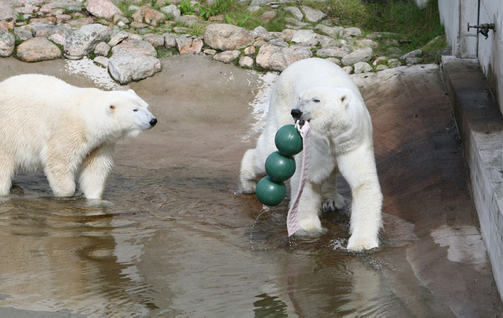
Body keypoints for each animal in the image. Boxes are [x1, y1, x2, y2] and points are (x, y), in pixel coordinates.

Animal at [0, 73, 158, 200]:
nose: (153, 120)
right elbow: (58, 160)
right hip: (8, 131)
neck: (88, 116)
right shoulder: (69, 131)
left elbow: (96, 167)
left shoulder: (102, 142)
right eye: (135, 110)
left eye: (146, 106)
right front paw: (68, 194)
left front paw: (94, 198)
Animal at [240, 57, 382, 251]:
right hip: (280, 108)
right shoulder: (315, 143)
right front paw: (308, 228)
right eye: (300, 98)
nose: (296, 112)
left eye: (316, 100)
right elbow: (307, 179)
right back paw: (248, 183)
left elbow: (363, 183)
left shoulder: (352, 140)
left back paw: (331, 200)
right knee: (266, 151)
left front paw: (362, 244)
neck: (332, 134)